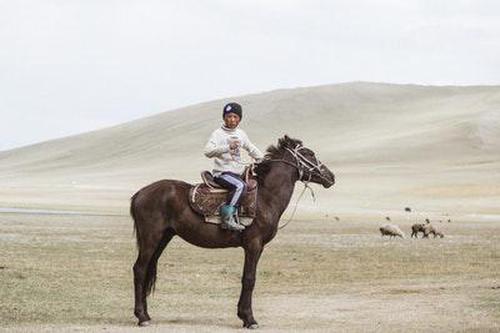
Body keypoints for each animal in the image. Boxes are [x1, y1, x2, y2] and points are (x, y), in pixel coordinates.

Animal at [131, 135, 334, 326]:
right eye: (309, 154)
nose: (330, 176)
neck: (265, 197)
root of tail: (140, 193)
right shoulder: (253, 244)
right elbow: (249, 279)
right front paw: (249, 319)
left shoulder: (257, 247)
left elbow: (247, 278)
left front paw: (243, 315)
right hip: (151, 237)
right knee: (139, 269)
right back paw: (141, 317)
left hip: (163, 238)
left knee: (147, 268)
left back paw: (146, 315)